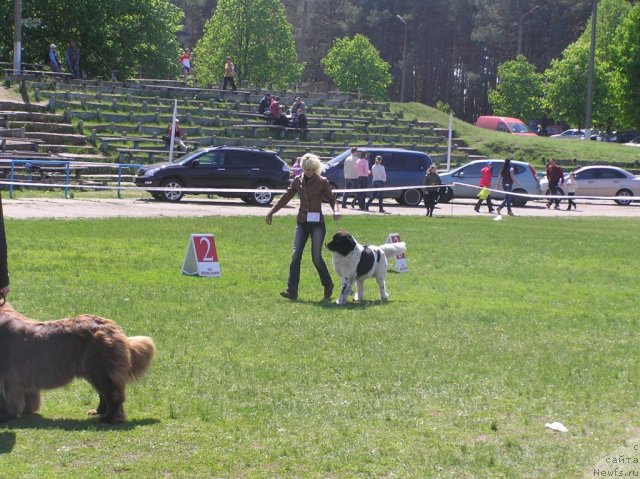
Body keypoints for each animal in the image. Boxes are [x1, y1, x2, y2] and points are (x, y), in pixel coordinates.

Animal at [0, 304, 154, 424]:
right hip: (94, 371)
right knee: (104, 394)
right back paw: (98, 412)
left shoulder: (8, 376)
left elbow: (6, 398)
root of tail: (113, 327)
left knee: (113, 395)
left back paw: (109, 419)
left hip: (101, 370)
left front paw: (6, 415)